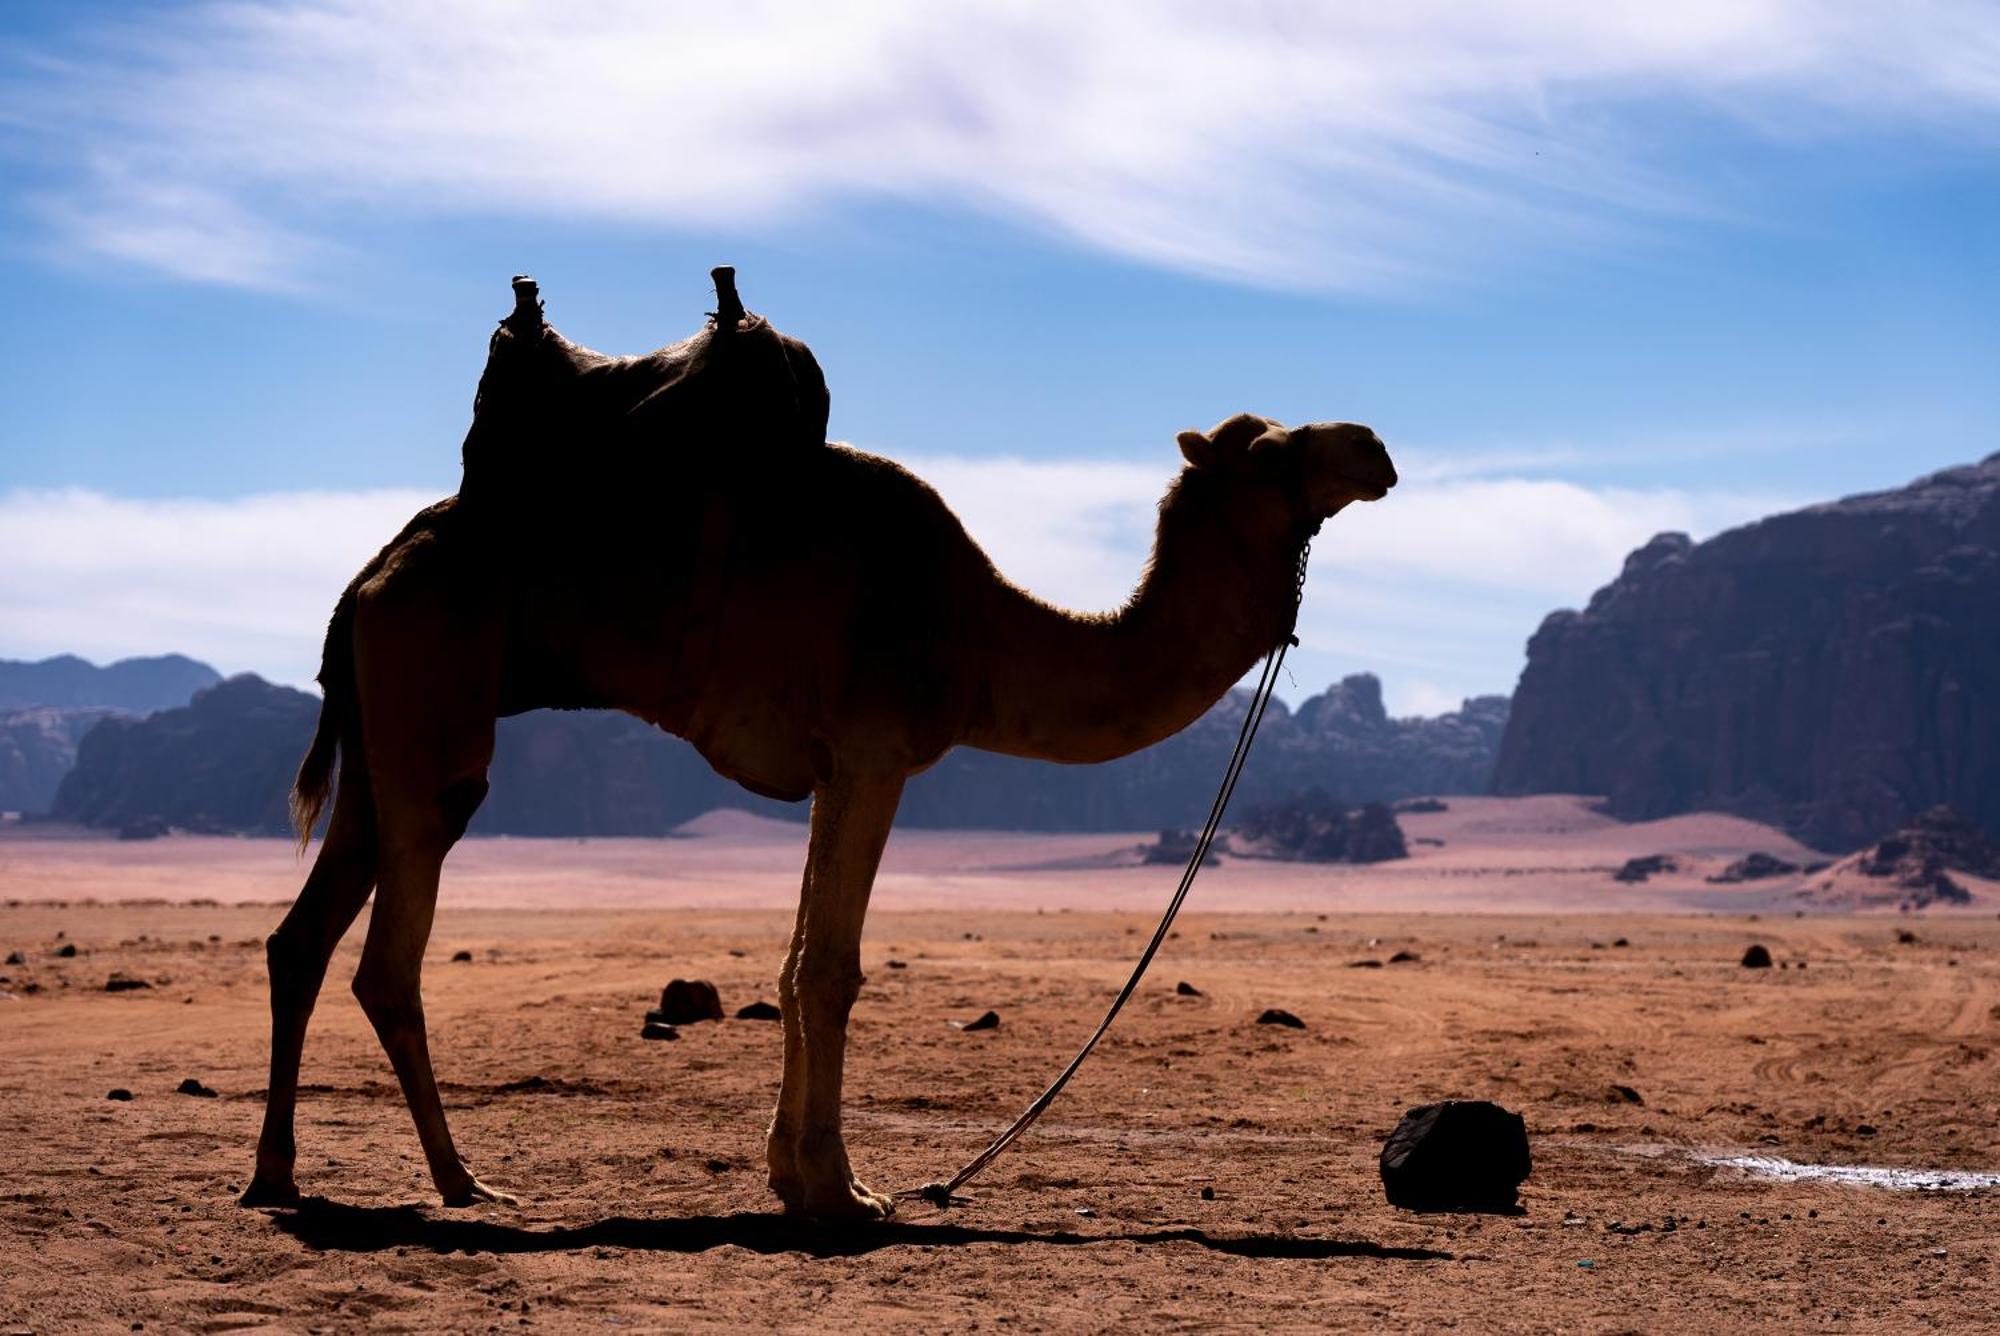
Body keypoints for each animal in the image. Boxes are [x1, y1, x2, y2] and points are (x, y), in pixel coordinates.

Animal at [242, 282, 1400, 1224]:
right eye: (1269, 450)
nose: (1375, 448)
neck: (980, 632)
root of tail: (368, 576)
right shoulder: (876, 751)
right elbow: (831, 967)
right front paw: (843, 1190)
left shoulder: (832, 769)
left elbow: (795, 960)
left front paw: (792, 1176)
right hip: (431, 694)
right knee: (390, 954)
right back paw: (461, 1181)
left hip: (379, 727)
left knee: (300, 938)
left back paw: (276, 1175)